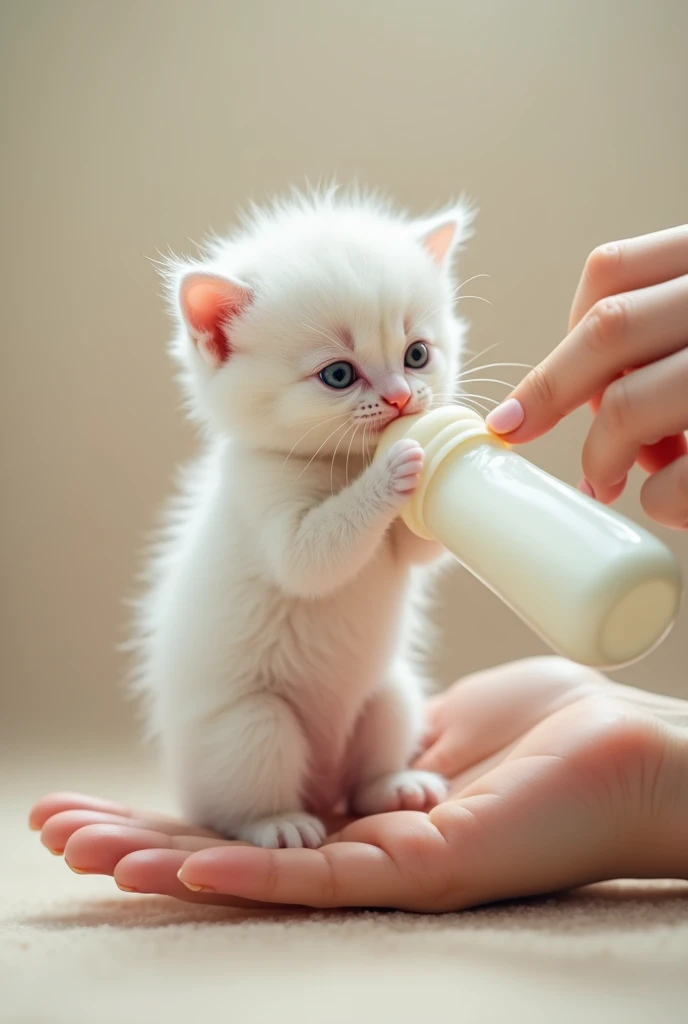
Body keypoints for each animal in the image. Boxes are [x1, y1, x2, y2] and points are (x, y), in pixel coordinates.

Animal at [132, 186, 470, 847]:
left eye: (417, 354)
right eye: (338, 374)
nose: (401, 399)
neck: (341, 462)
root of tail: (322, 787)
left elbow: (419, 550)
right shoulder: (261, 496)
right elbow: (311, 559)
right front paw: (392, 468)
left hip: (390, 691)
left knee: (372, 752)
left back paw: (391, 786)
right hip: (250, 723)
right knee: (240, 794)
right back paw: (278, 822)